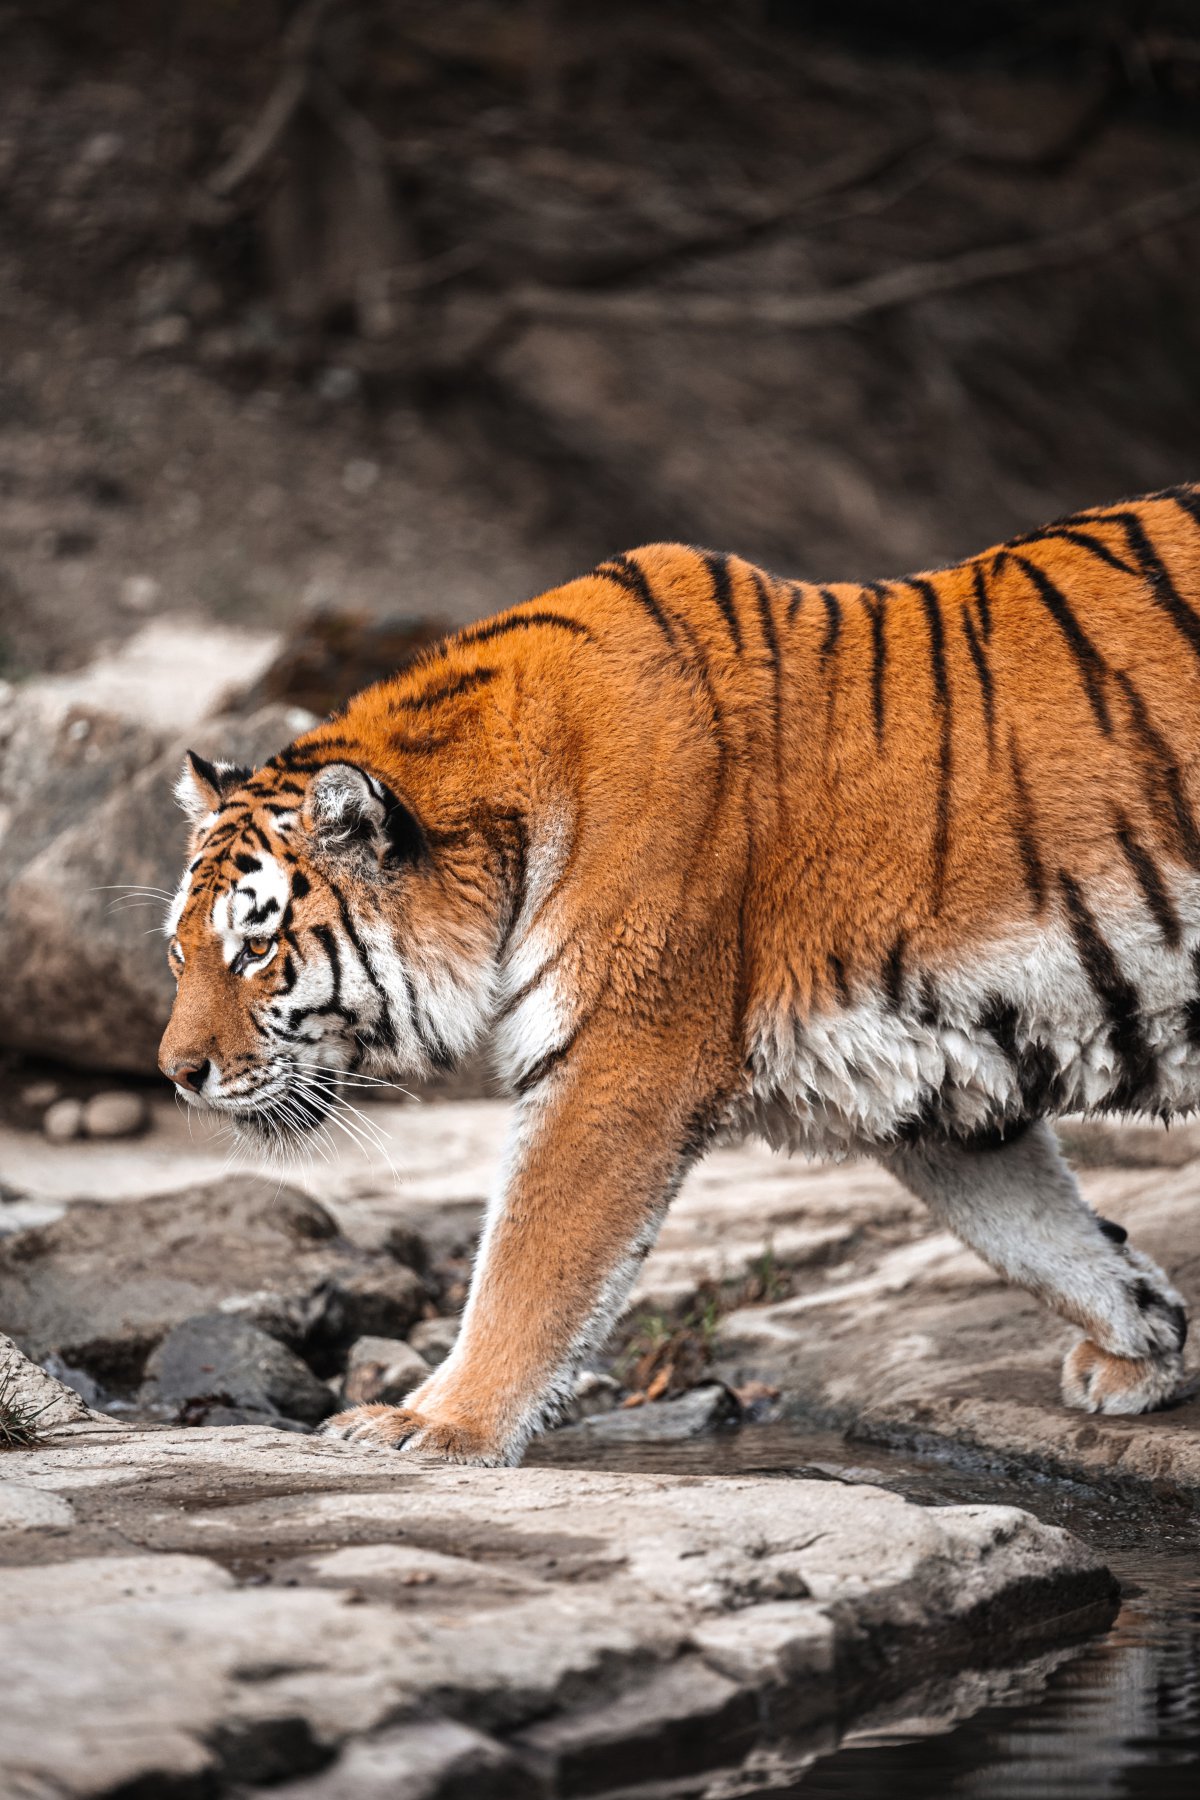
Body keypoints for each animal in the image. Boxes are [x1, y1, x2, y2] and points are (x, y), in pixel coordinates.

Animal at [161, 489, 1200, 1461]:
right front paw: (1142, 1339)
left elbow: (529, 1262)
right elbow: (1034, 1232)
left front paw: (433, 1422)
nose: (176, 1074)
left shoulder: (623, 1060)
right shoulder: (930, 1064)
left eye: (255, 950)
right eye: (181, 954)